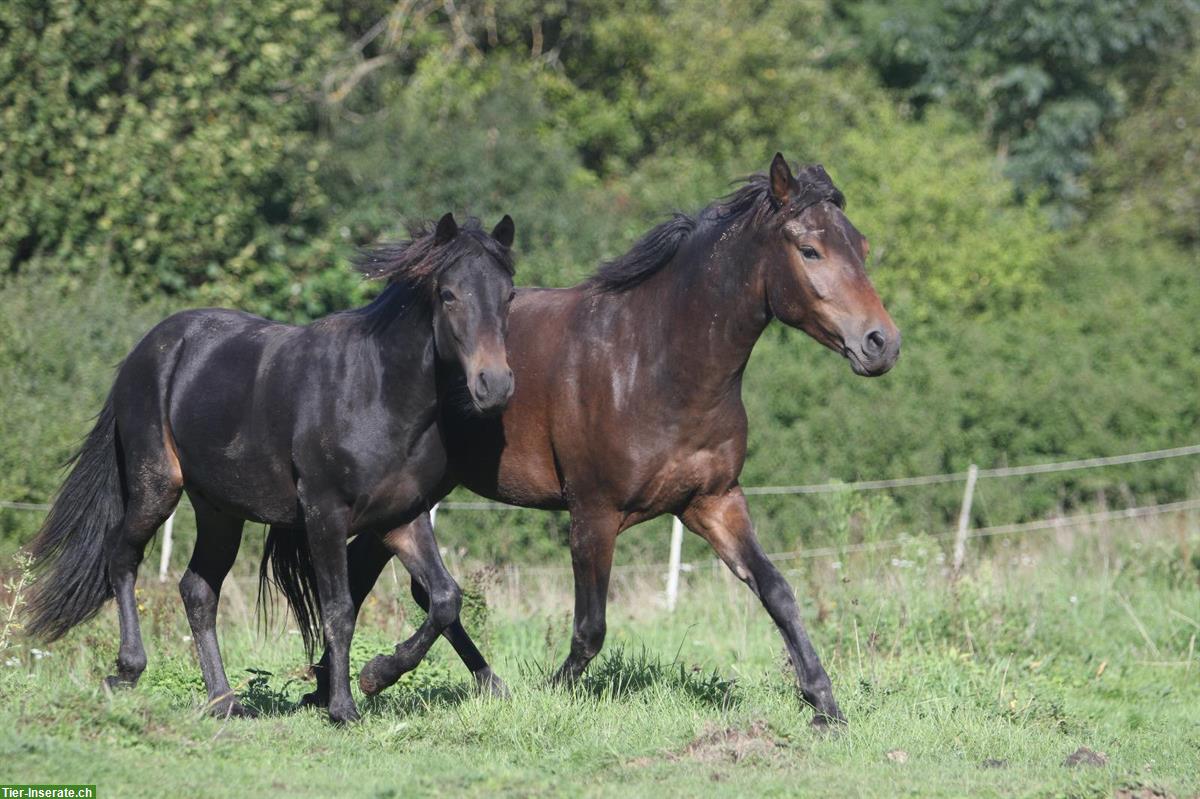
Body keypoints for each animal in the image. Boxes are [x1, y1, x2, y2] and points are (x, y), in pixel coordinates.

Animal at [27, 211, 516, 719]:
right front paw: (343, 706)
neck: (376, 392)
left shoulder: (403, 517)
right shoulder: (324, 514)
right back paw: (127, 671)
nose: (494, 385)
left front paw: (377, 674)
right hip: (156, 487)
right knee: (121, 554)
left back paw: (224, 701)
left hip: (218, 510)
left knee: (197, 590)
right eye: (449, 294)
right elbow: (338, 609)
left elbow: (444, 598)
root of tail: (142, 353)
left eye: (509, 296)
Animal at [295, 152, 902, 724]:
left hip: (407, 497)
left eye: (863, 246)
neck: (653, 363)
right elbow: (591, 629)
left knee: (381, 577)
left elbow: (777, 591)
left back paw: (345, 684)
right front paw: (551, 695)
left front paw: (824, 704)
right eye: (809, 250)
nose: (882, 343)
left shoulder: (714, 503)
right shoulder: (593, 512)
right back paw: (369, 680)